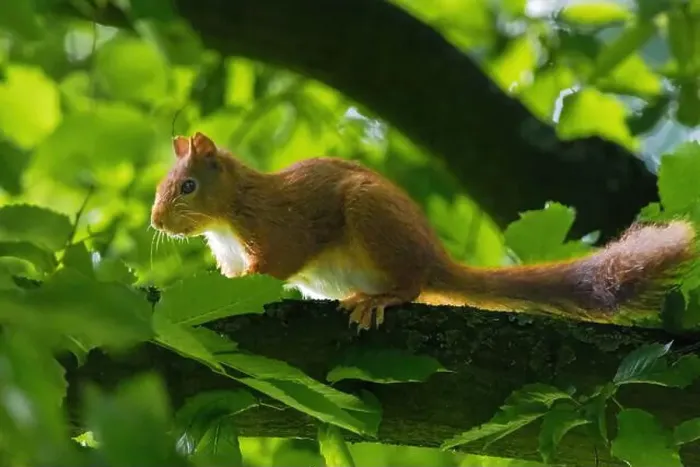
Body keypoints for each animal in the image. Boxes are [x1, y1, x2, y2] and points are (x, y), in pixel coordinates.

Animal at [151, 132, 697, 330]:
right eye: (161, 186)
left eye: (188, 187)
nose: (155, 221)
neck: (228, 216)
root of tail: (436, 259)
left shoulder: (277, 226)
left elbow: (277, 263)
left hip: (374, 219)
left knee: (411, 286)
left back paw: (380, 299)